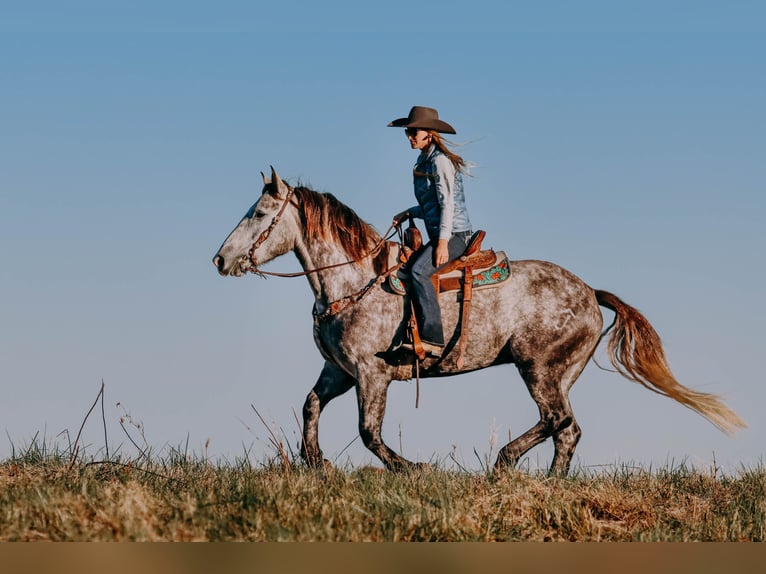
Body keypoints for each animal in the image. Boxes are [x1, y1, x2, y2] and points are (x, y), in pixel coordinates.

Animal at [213, 166, 748, 476]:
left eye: (259, 213)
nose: (220, 260)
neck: (352, 282)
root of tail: (590, 293)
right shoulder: (339, 371)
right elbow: (309, 405)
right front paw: (315, 462)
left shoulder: (372, 373)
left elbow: (369, 432)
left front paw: (413, 468)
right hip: (561, 373)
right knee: (568, 429)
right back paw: (550, 484)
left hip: (538, 367)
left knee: (556, 420)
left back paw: (505, 462)